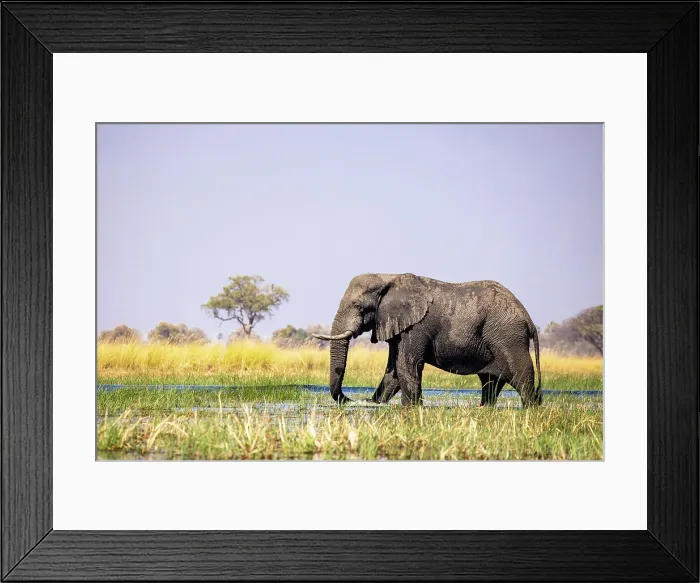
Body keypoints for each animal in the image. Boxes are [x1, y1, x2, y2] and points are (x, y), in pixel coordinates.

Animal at [313, 273, 542, 408]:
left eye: (359, 307)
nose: (351, 399)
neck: (388, 277)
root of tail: (528, 318)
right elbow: (394, 371)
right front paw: (379, 404)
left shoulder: (415, 327)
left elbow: (406, 366)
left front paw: (413, 409)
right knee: (491, 382)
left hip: (508, 337)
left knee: (522, 375)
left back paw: (531, 410)